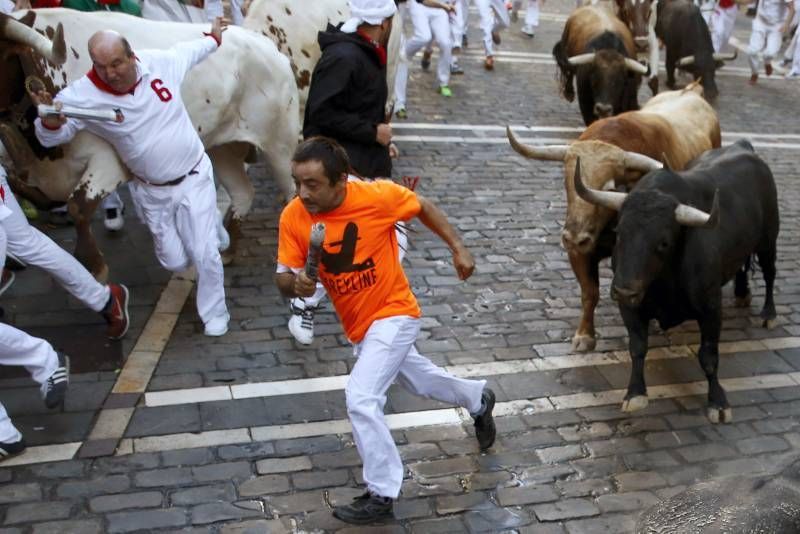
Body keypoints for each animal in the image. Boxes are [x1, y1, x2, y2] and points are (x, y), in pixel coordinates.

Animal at [0, 10, 300, 282]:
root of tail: (266, 46)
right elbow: (25, 188)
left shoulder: (109, 161)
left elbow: (78, 206)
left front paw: (93, 265)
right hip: (223, 148)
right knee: (242, 193)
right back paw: (227, 249)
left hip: (280, 145)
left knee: (291, 194)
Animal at [510, 82, 720, 352]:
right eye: (567, 181)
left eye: (609, 187)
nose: (573, 237)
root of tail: (691, 90)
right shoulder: (580, 252)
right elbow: (589, 292)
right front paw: (584, 335)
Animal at [576, 140, 780, 426]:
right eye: (619, 233)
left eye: (663, 242)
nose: (624, 290)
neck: (664, 282)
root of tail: (744, 146)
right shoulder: (630, 308)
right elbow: (637, 348)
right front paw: (635, 394)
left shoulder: (711, 308)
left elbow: (708, 356)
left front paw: (718, 402)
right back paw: (742, 294)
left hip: (768, 240)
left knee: (770, 274)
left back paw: (768, 314)